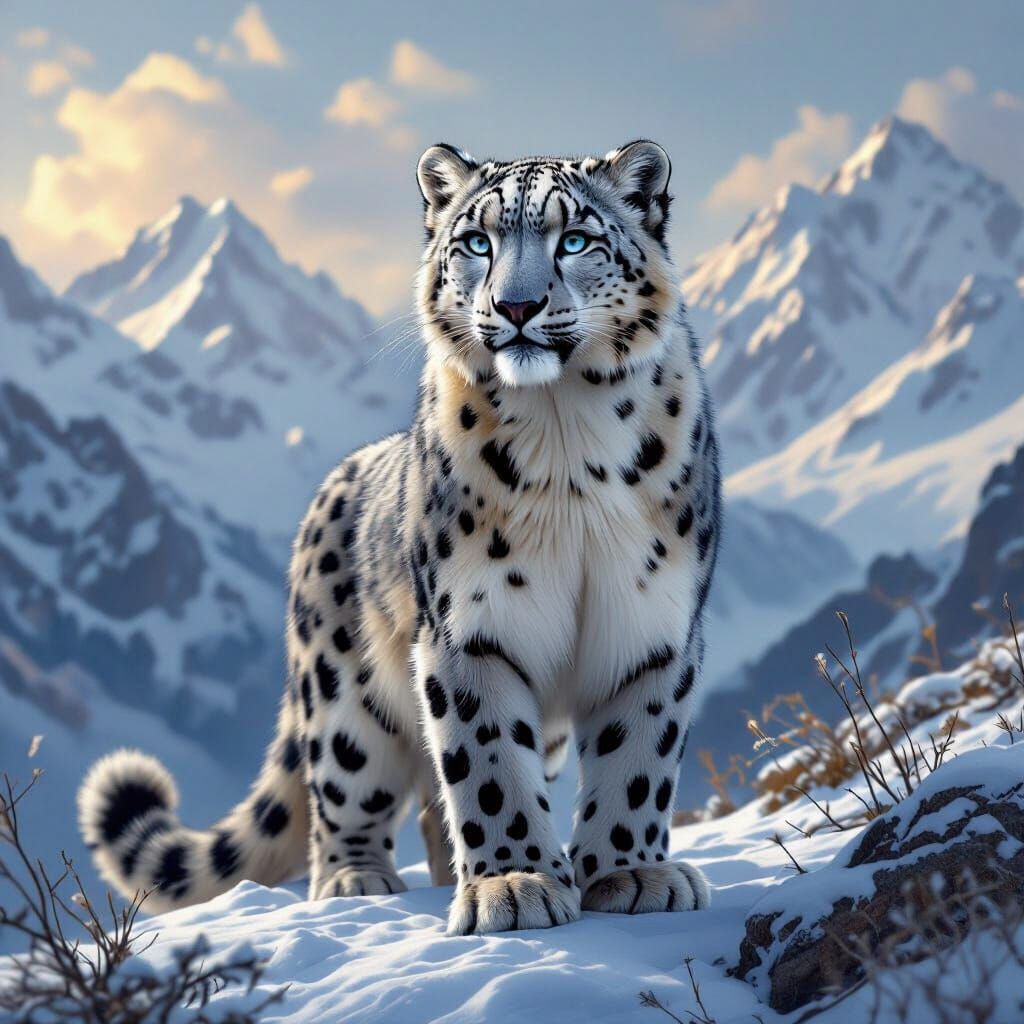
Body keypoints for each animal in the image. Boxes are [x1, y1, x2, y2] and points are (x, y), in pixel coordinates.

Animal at [79, 139, 721, 934]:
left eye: (575, 239)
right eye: (476, 242)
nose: (515, 306)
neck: (568, 439)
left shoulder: (653, 627)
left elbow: (638, 758)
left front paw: (629, 874)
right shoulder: (469, 626)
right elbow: (486, 763)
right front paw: (513, 884)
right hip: (344, 697)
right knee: (346, 791)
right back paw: (356, 880)